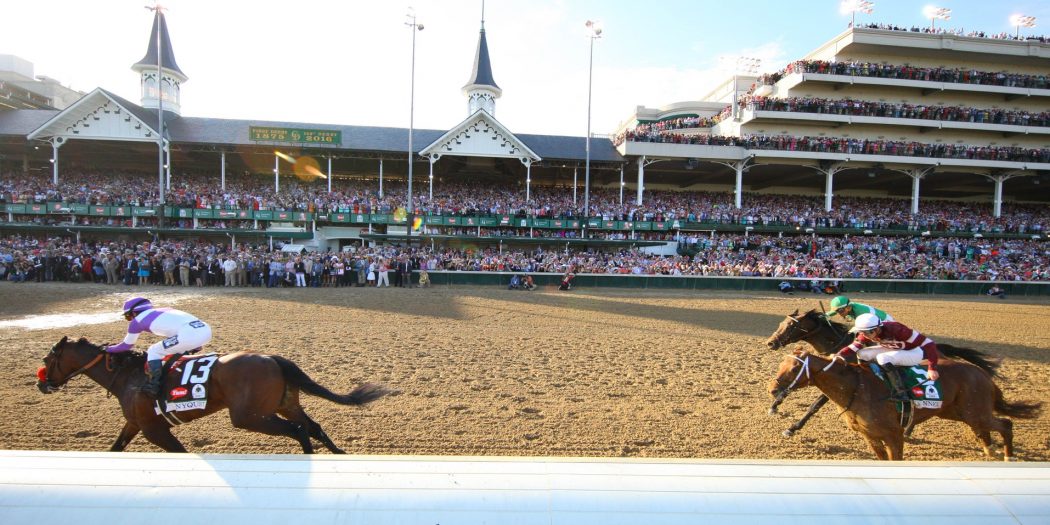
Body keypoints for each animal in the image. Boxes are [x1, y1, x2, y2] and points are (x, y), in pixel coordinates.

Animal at [36, 336, 392, 453]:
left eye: (48, 359)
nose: (41, 384)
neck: (128, 376)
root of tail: (272, 358)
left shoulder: (153, 429)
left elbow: (179, 452)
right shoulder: (135, 423)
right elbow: (115, 448)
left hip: (248, 415)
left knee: (298, 430)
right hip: (284, 403)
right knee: (311, 426)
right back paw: (338, 454)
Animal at [765, 308, 1001, 436]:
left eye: (791, 326)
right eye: (781, 323)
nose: (771, 343)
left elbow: (814, 405)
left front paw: (793, 427)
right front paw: (774, 405)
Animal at [768, 348, 1041, 461]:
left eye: (793, 368)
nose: (772, 389)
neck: (858, 388)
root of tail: (982, 374)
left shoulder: (893, 434)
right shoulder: (870, 436)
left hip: (975, 411)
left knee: (1005, 424)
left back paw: (1007, 456)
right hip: (959, 412)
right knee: (984, 429)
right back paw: (989, 451)